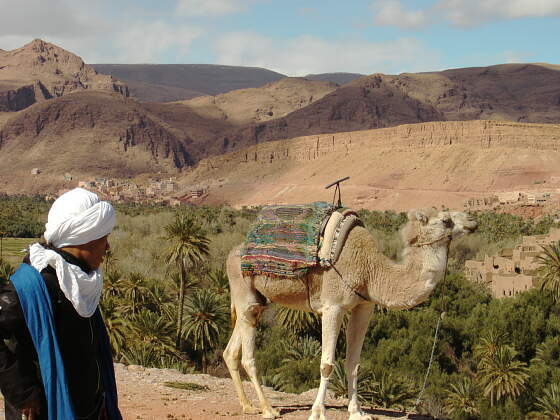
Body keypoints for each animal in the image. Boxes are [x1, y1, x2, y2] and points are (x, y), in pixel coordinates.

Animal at [223, 208, 476, 418]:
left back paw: (248, 406)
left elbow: (354, 364)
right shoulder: (332, 307)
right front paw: (318, 412)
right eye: (446, 220)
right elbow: (327, 363)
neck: (370, 270)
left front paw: (357, 412)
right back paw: (268, 409)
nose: (473, 221)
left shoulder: (364, 307)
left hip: (257, 301)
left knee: (231, 351)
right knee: (248, 357)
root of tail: (232, 254)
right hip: (244, 290)